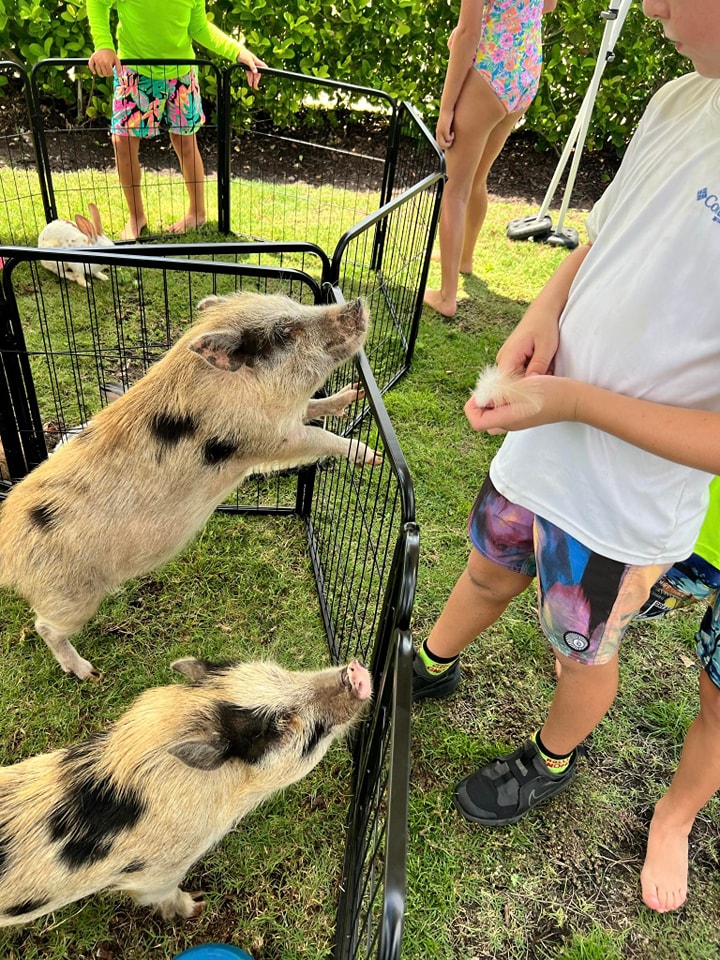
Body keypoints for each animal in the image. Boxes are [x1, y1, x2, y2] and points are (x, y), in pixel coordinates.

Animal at [0, 296, 382, 680]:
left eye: (293, 303)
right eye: (284, 333)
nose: (357, 303)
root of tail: (7, 548)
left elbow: (314, 407)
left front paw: (353, 393)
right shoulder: (268, 440)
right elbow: (320, 438)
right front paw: (373, 458)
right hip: (69, 596)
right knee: (45, 626)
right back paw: (88, 673)